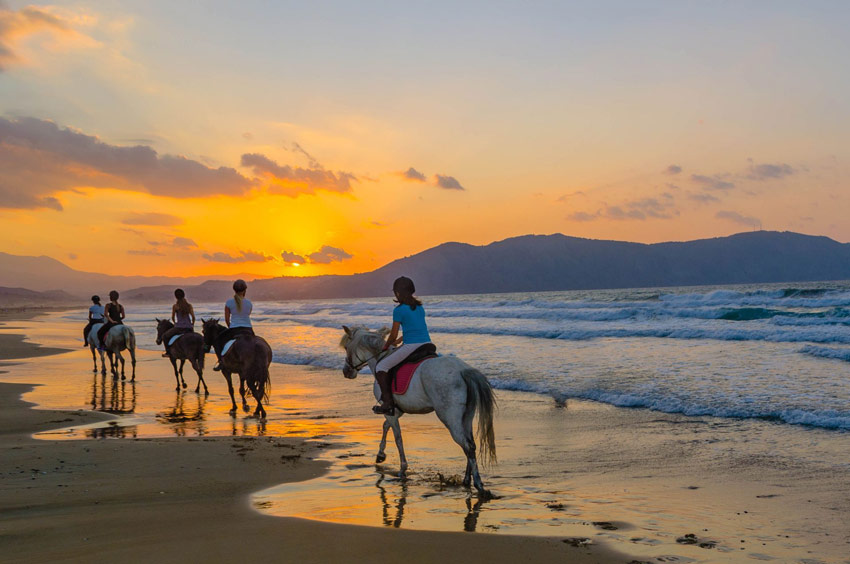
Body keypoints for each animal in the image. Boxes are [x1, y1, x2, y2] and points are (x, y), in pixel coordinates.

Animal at [340, 326, 494, 494]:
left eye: (346, 348)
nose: (346, 372)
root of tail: (463, 370)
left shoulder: (389, 411)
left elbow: (398, 438)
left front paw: (402, 469)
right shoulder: (395, 411)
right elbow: (385, 426)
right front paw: (380, 455)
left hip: (450, 418)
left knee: (467, 445)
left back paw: (479, 485)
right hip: (466, 416)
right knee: (470, 443)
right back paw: (467, 480)